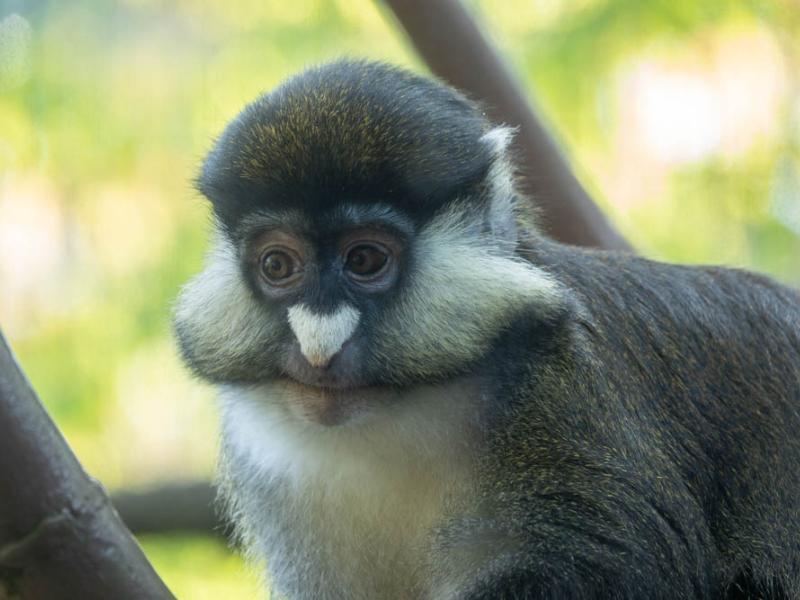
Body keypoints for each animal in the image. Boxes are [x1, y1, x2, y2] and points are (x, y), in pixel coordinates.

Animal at [173, 57, 800, 600]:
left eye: (365, 260)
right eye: (278, 266)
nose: (319, 348)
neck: (407, 415)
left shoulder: (566, 390)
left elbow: (628, 560)